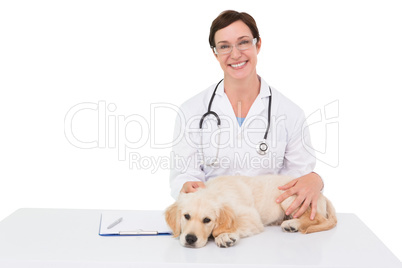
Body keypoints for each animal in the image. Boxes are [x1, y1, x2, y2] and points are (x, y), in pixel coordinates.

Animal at [164, 175, 336, 248]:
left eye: (207, 220)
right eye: (186, 216)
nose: (190, 239)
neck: (215, 191)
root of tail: (321, 195)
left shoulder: (251, 217)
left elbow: (233, 226)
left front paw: (224, 235)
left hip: (290, 197)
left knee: (319, 219)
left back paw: (292, 224)